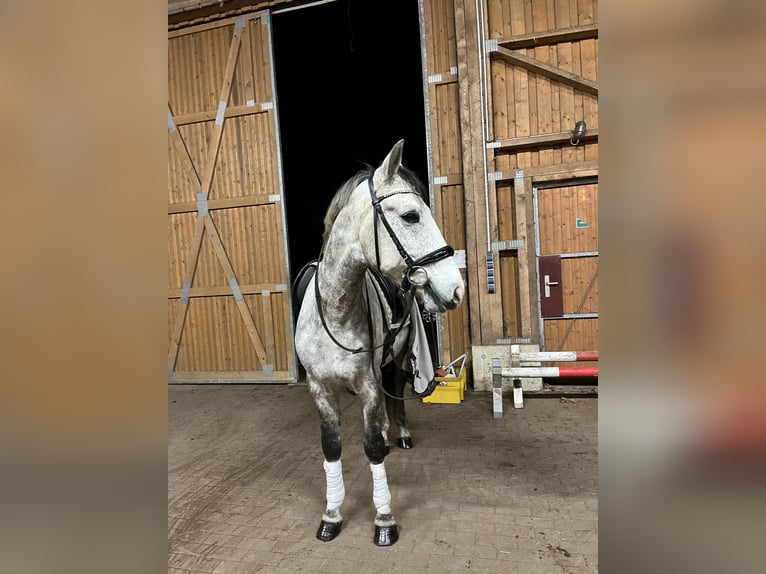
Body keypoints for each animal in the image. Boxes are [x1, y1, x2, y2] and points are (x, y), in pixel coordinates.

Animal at [293, 139, 465, 546]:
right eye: (411, 216)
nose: (456, 288)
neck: (335, 313)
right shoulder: (320, 388)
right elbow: (332, 447)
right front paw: (331, 515)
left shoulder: (368, 383)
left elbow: (371, 448)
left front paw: (384, 519)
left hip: (399, 358)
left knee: (397, 388)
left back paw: (399, 433)